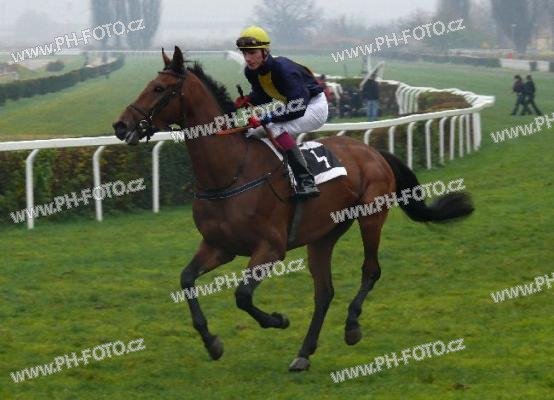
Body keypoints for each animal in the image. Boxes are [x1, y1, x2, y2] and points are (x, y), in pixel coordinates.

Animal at [113, 46, 474, 371]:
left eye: (159, 89)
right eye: (149, 84)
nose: (120, 126)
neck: (230, 173)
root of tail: (374, 152)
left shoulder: (270, 248)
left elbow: (243, 295)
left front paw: (277, 320)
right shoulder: (219, 246)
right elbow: (186, 279)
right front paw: (211, 341)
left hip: (372, 217)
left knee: (370, 270)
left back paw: (351, 326)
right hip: (324, 235)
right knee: (324, 292)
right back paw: (304, 353)